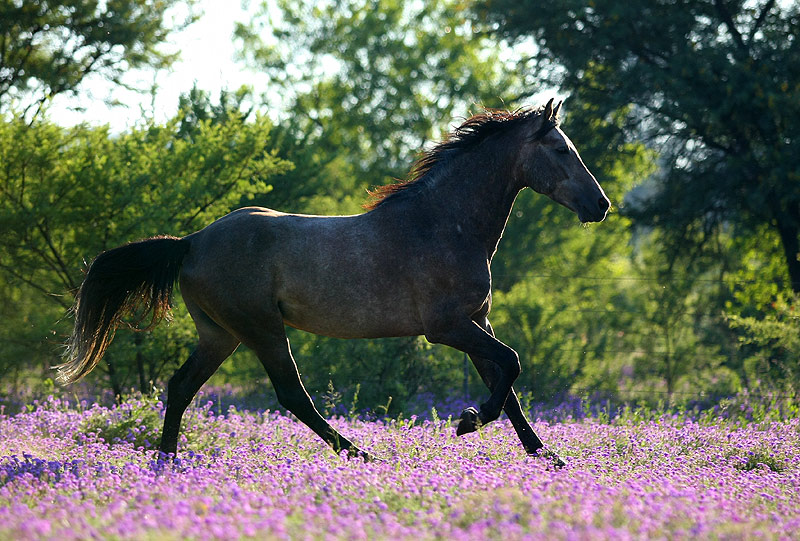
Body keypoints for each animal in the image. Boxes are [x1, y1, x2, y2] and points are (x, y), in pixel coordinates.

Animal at [57, 99, 608, 462]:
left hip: (220, 334)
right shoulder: (446, 327)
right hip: (260, 329)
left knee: (180, 387)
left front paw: (546, 456)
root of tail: (191, 241)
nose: (600, 205)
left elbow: (506, 383)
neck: (443, 224)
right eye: (560, 148)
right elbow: (511, 365)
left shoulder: (477, 321)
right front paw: (468, 423)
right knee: (290, 395)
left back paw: (165, 463)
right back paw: (361, 455)